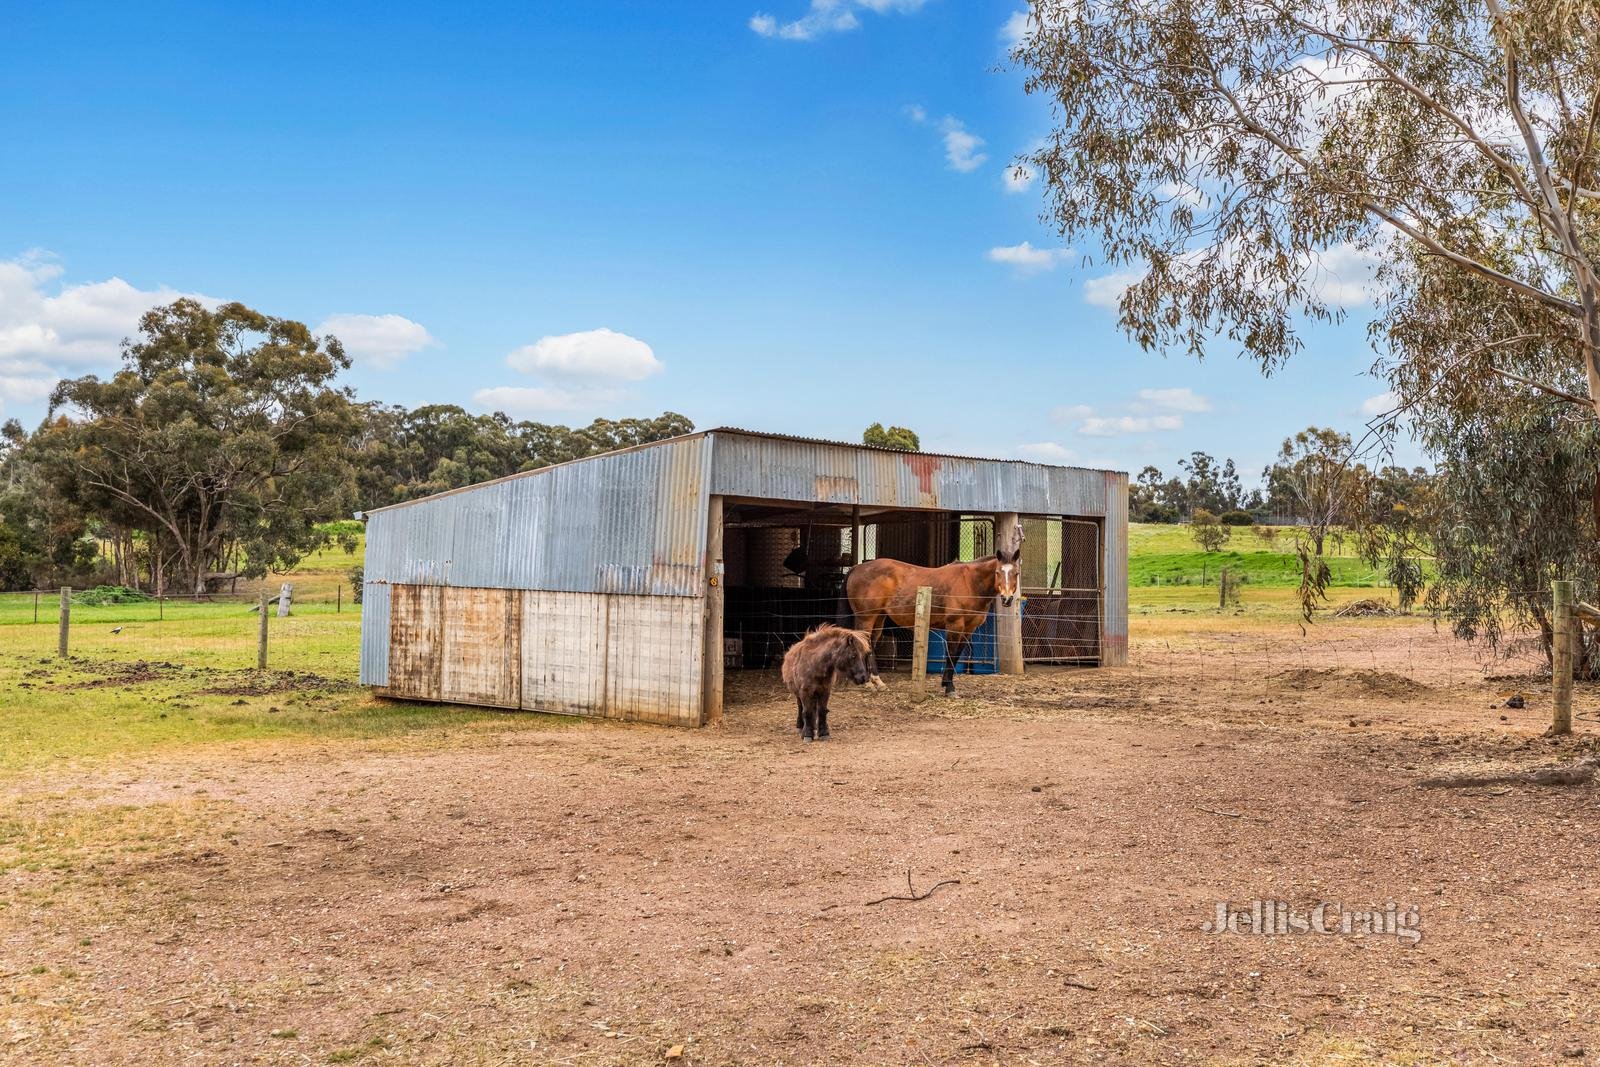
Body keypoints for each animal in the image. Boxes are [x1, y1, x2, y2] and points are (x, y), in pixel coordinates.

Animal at [844, 524, 1017, 694]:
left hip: (879, 617)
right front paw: (949, 687)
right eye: (997, 572)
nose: (1006, 598)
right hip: (866, 617)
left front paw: (947, 683)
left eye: (1016, 573)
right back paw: (868, 683)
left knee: (870, 644)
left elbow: (957, 655)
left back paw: (877, 681)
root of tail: (857, 568)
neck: (970, 583)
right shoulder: (955, 625)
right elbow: (950, 654)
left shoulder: (969, 628)